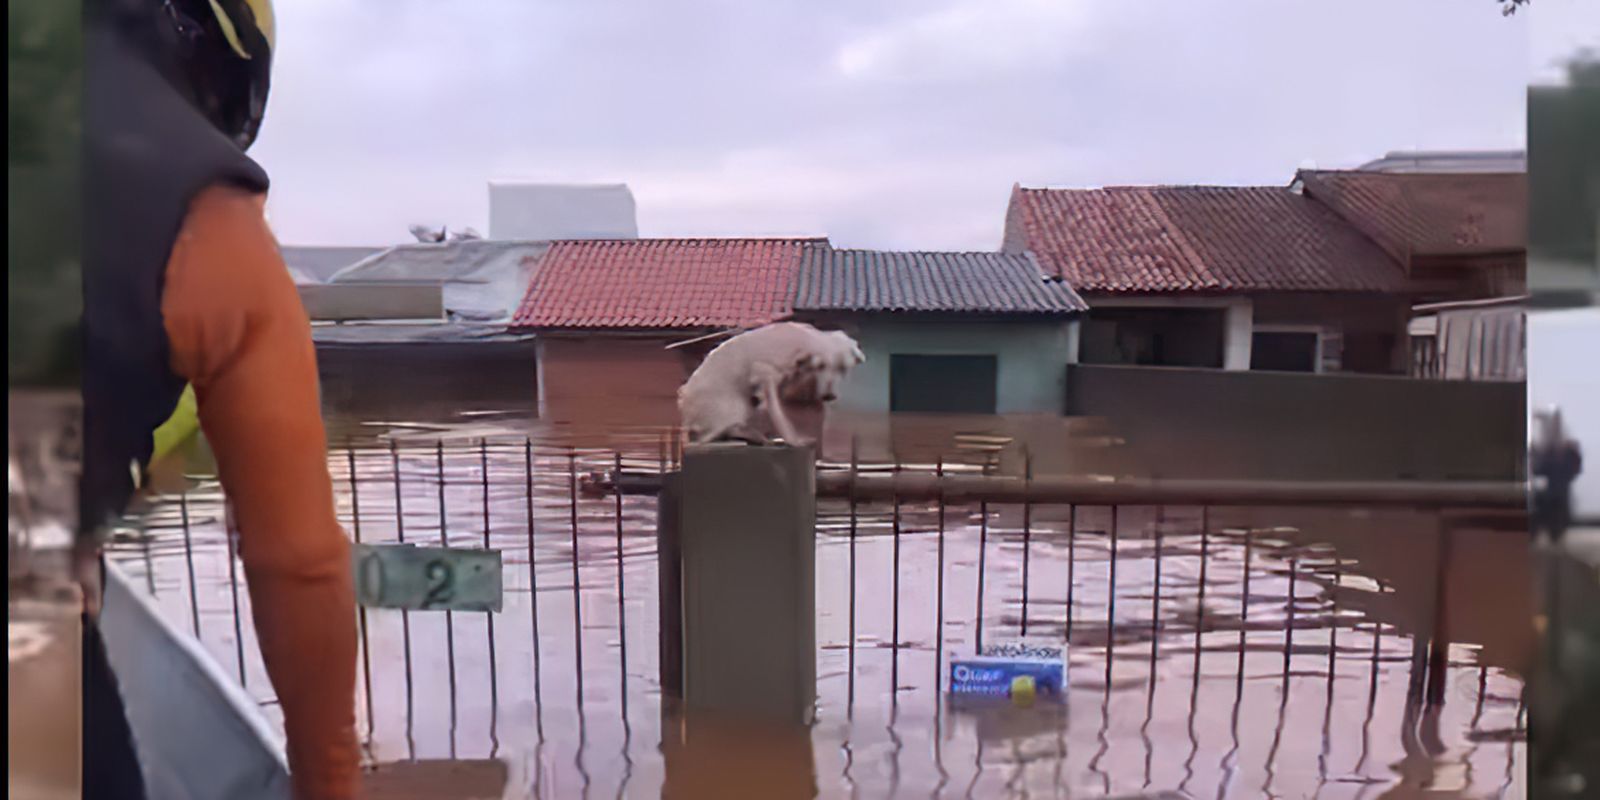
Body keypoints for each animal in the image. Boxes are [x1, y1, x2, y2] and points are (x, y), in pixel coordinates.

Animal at [675, 321, 864, 448]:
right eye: (821, 366)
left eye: (843, 368)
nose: (829, 395)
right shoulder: (764, 371)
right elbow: (777, 410)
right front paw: (795, 439)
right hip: (731, 405)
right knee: (714, 433)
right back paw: (752, 434)